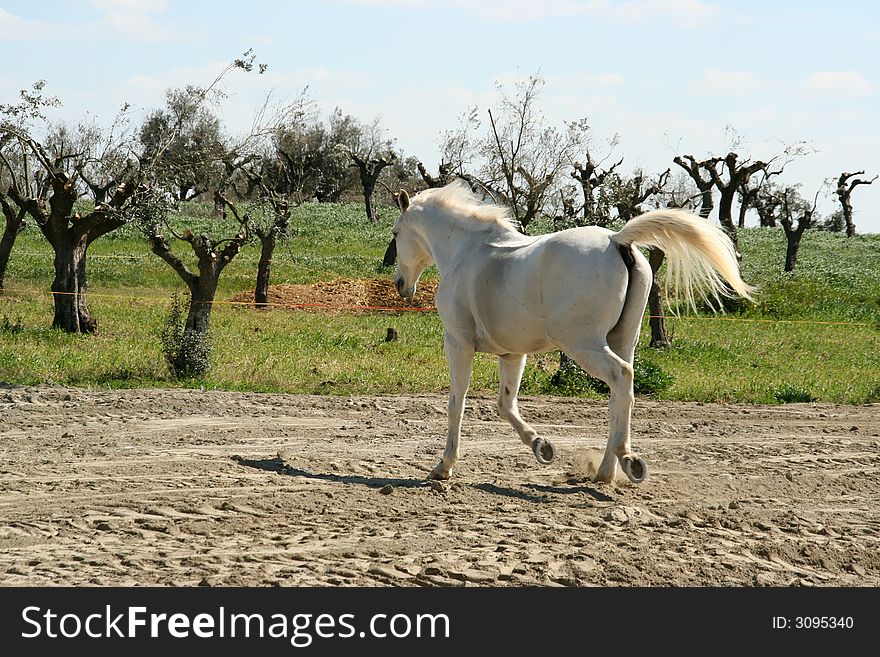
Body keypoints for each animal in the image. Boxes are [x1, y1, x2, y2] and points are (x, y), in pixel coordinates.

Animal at [394, 179, 756, 482]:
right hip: (622, 340)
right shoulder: (513, 353)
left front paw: (443, 467)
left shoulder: (458, 342)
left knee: (621, 377)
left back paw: (627, 460)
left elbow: (457, 403)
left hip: (583, 345)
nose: (401, 285)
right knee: (620, 394)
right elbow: (505, 404)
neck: (467, 251)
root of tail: (616, 241)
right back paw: (606, 472)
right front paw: (542, 447)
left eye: (396, 233)